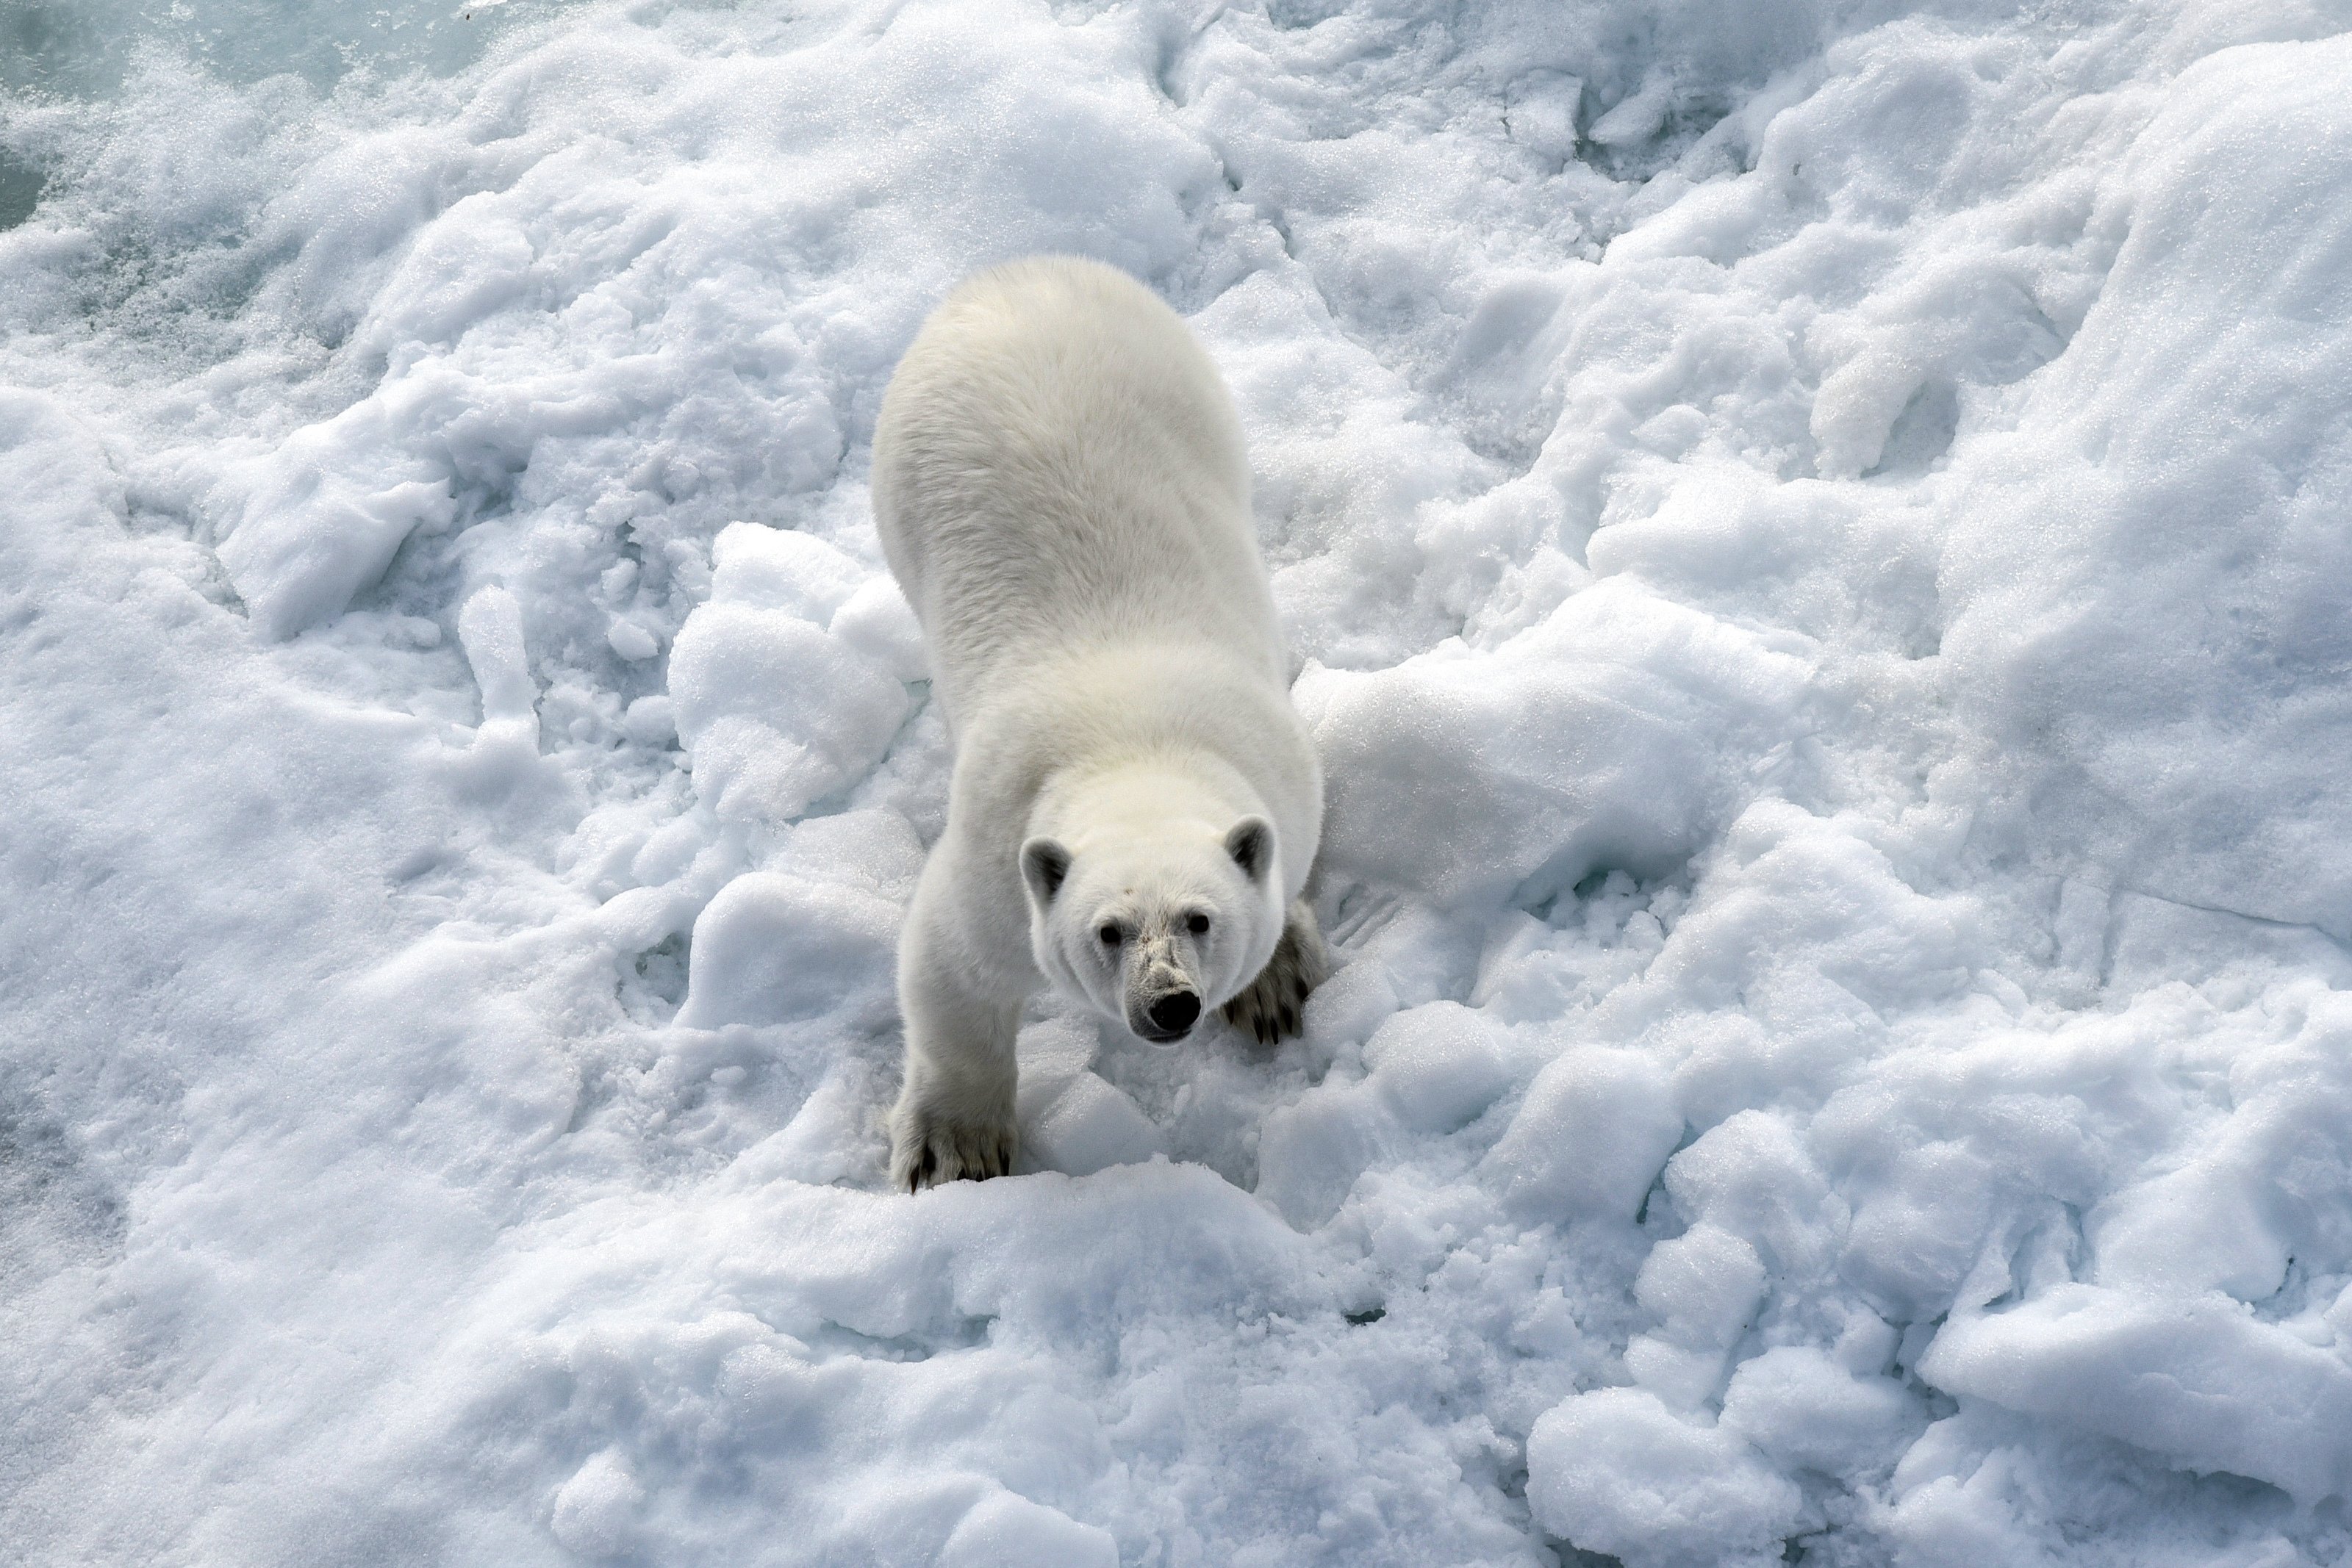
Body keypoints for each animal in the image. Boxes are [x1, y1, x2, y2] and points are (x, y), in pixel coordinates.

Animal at [879, 257, 1335, 1189]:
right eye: (1108, 930)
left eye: (1199, 917)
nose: (1169, 1003)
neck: (1133, 746)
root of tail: (1012, 271)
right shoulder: (995, 858)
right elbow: (949, 971)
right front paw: (953, 1150)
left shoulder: (1283, 781)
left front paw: (1272, 986)